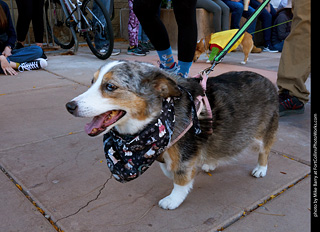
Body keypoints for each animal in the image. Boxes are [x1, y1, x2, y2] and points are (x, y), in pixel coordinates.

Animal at [66, 60, 278, 210]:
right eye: (92, 82)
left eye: (110, 86)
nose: (69, 106)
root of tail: (269, 82)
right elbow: (169, 169)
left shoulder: (184, 157)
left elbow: (181, 179)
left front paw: (172, 200)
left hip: (263, 134)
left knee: (264, 151)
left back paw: (260, 169)